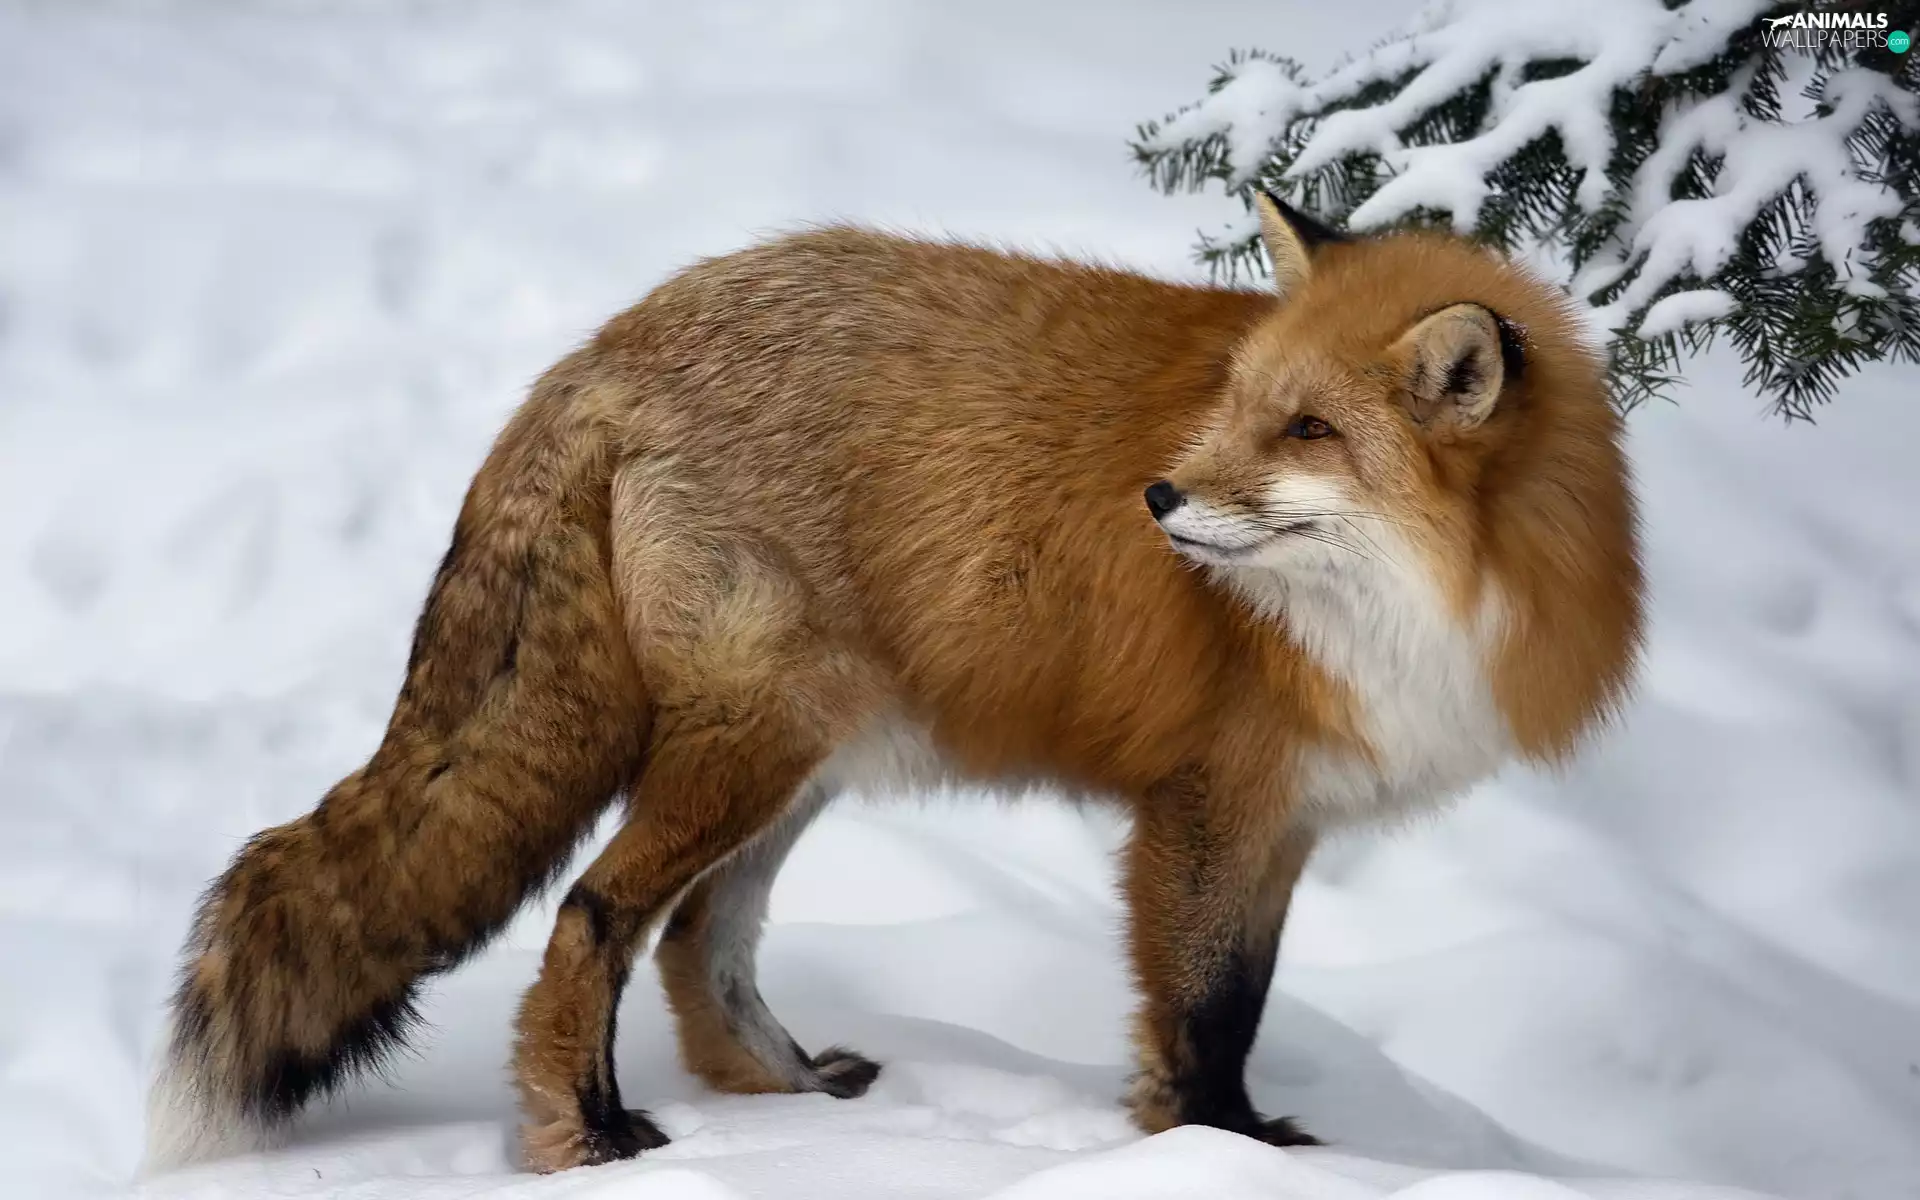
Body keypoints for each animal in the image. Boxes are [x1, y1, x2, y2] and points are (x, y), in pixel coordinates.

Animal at [147, 194, 1642, 1173]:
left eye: (1309, 429)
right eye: (1240, 409)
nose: (1157, 496)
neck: (1432, 605)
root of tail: (604, 348)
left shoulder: (1287, 823)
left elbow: (1242, 1003)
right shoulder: (1205, 808)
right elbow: (1206, 1016)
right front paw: (1216, 1156)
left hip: (806, 759)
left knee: (699, 943)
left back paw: (790, 1097)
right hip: (757, 740)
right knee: (595, 917)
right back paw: (593, 1132)